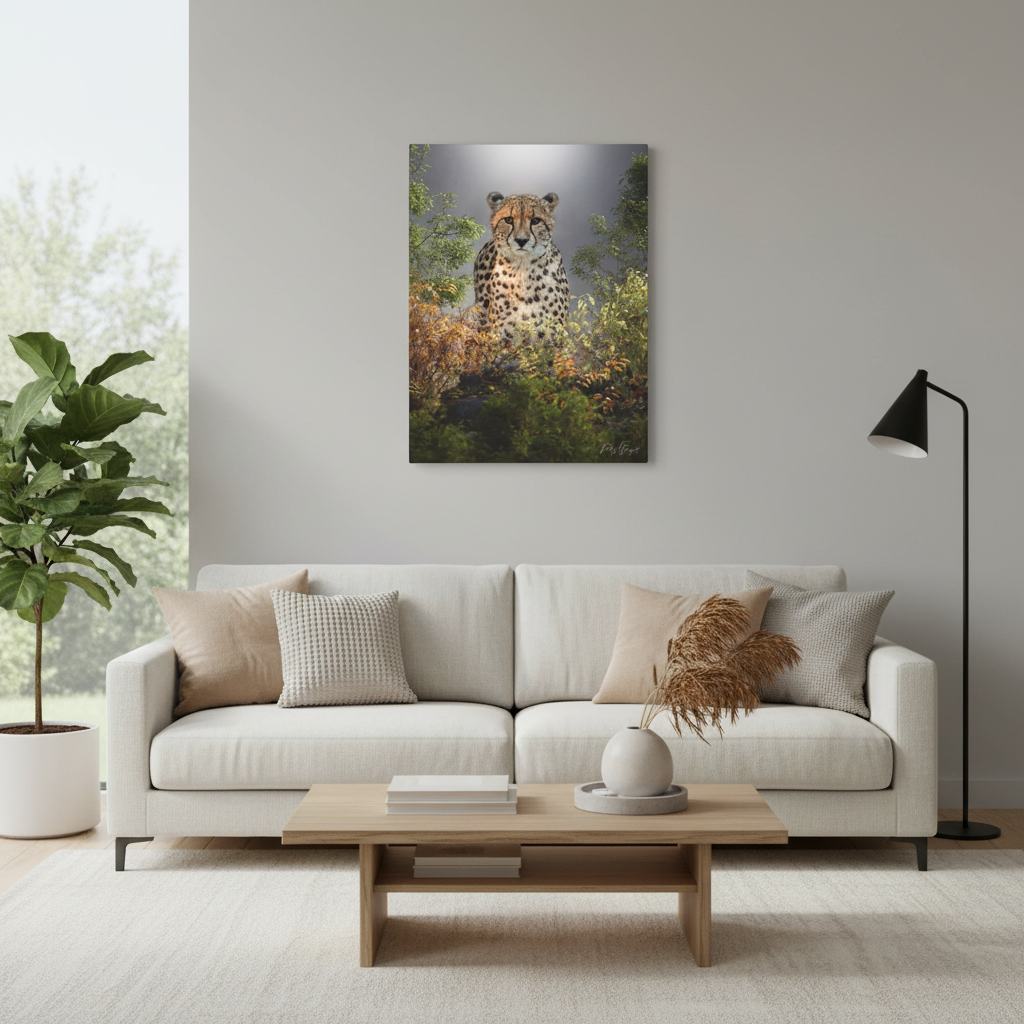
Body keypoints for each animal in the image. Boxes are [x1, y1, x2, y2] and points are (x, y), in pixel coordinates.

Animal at [472, 191, 570, 343]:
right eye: (508, 220)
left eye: (535, 221)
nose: (521, 240)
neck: (523, 268)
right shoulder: (503, 329)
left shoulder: (554, 329)